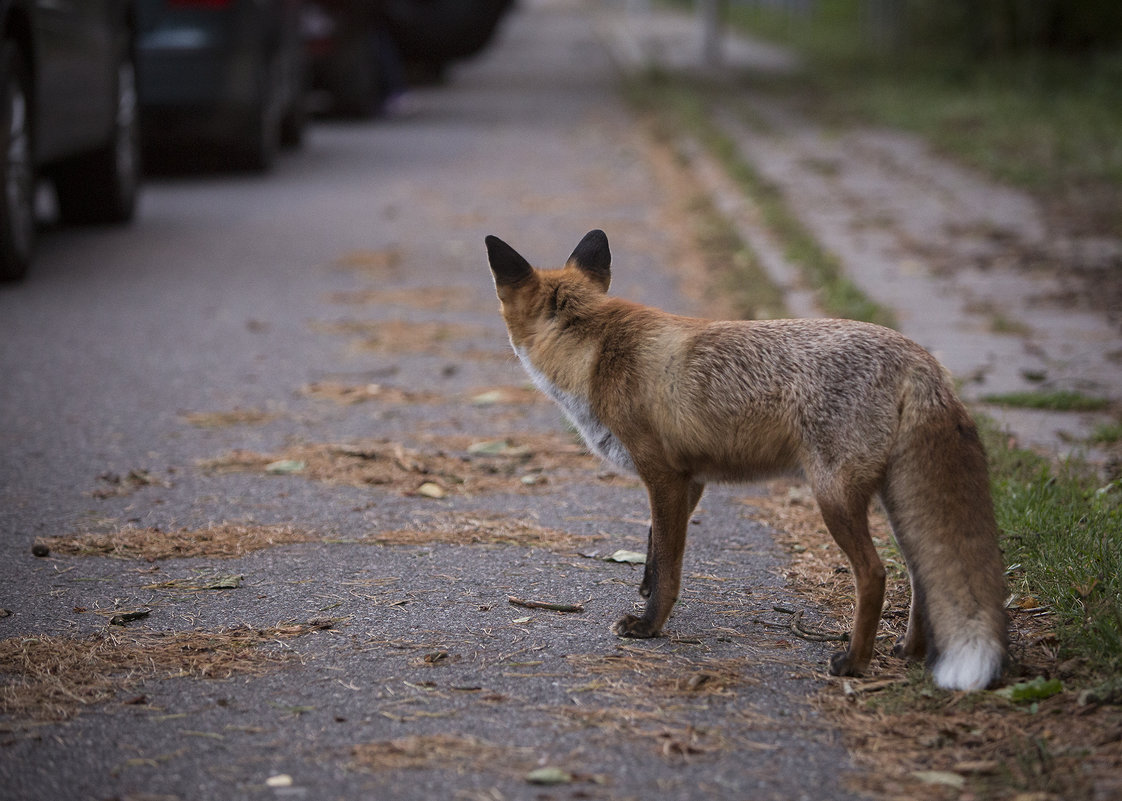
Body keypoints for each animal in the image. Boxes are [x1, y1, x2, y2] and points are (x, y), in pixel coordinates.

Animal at [482, 228, 1009, 686]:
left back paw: (853, 662)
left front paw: (649, 626)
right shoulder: (690, 479)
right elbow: (654, 547)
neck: (598, 351)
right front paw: (645, 592)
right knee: (922, 575)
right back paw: (910, 651)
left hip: (833, 497)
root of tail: (921, 357)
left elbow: (670, 564)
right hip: (892, 500)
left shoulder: (663, 476)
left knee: (876, 574)